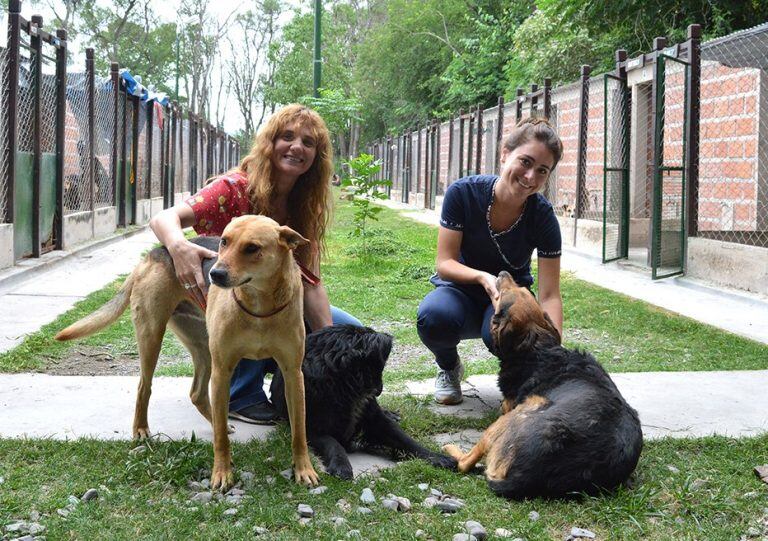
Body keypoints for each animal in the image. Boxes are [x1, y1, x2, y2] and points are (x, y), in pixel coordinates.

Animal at [54, 215, 318, 490]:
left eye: (252, 248)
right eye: (224, 241)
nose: (215, 274)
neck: (259, 304)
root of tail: (155, 252)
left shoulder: (292, 373)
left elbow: (300, 432)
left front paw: (304, 469)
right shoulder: (223, 372)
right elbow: (221, 440)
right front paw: (222, 472)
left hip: (204, 348)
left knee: (197, 394)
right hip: (152, 336)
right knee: (144, 387)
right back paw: (141, 430)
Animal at [268, 322, 456, 478]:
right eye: (376, 369)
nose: (378, 392)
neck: (341, 385)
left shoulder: (376, 418)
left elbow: (405, 439)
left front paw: (437, 457)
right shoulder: (310, 429)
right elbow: (333, 443)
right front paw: (341, 465)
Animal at [440, 270, 644, 498]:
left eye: (502, 296)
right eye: (522, 289)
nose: (502, 273)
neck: (536, 347)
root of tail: (527, 477)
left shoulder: (510, 406)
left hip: (519, 412)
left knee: (465, 464)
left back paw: (451, 450)